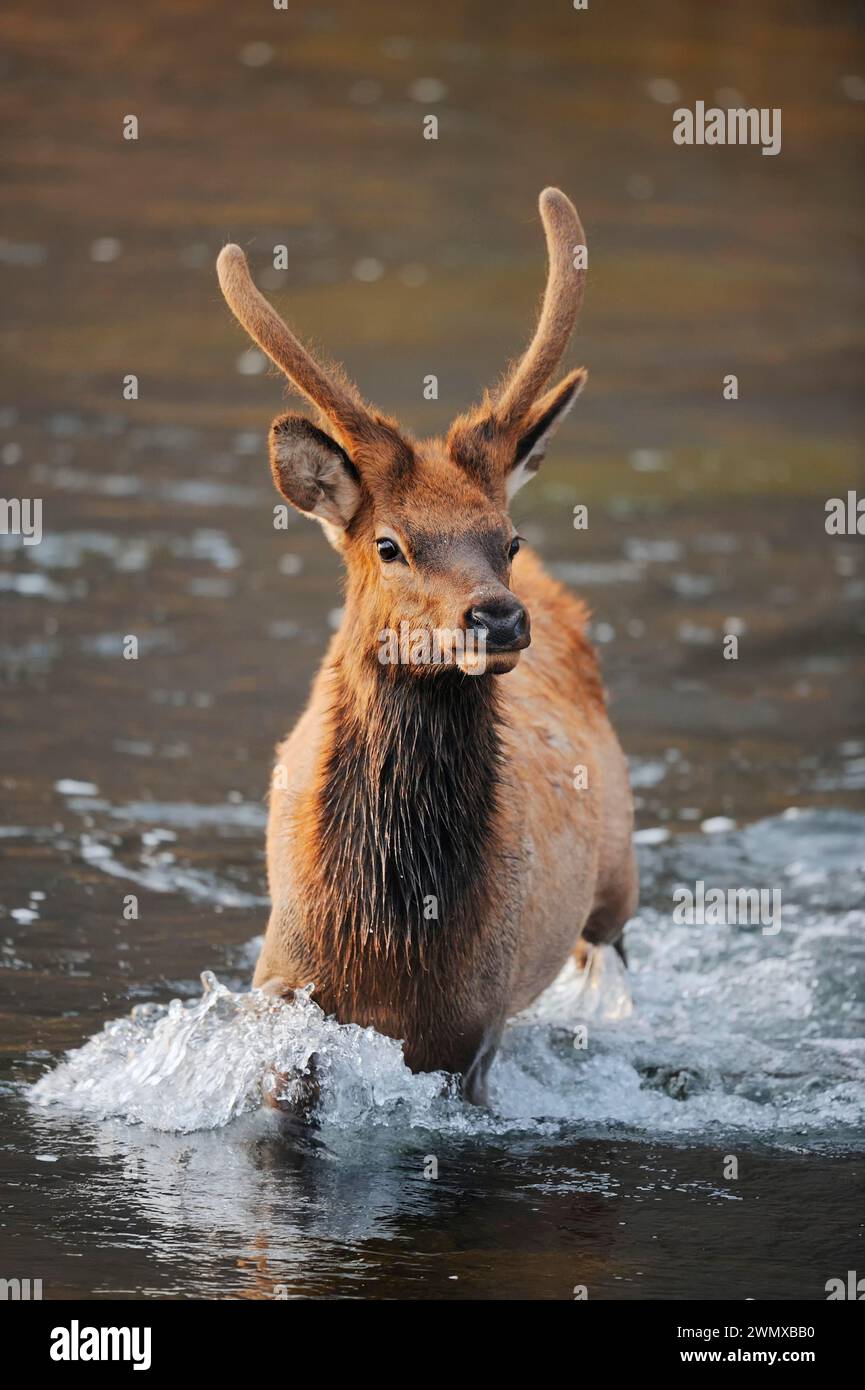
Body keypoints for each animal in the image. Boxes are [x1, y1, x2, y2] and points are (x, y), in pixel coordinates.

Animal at [216, 190, 636, 1100]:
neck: (387, 943)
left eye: (506, 538)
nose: (500, 618)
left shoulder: (473, 1030)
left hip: (616, 878)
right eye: (389, 544)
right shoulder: (281, 990)